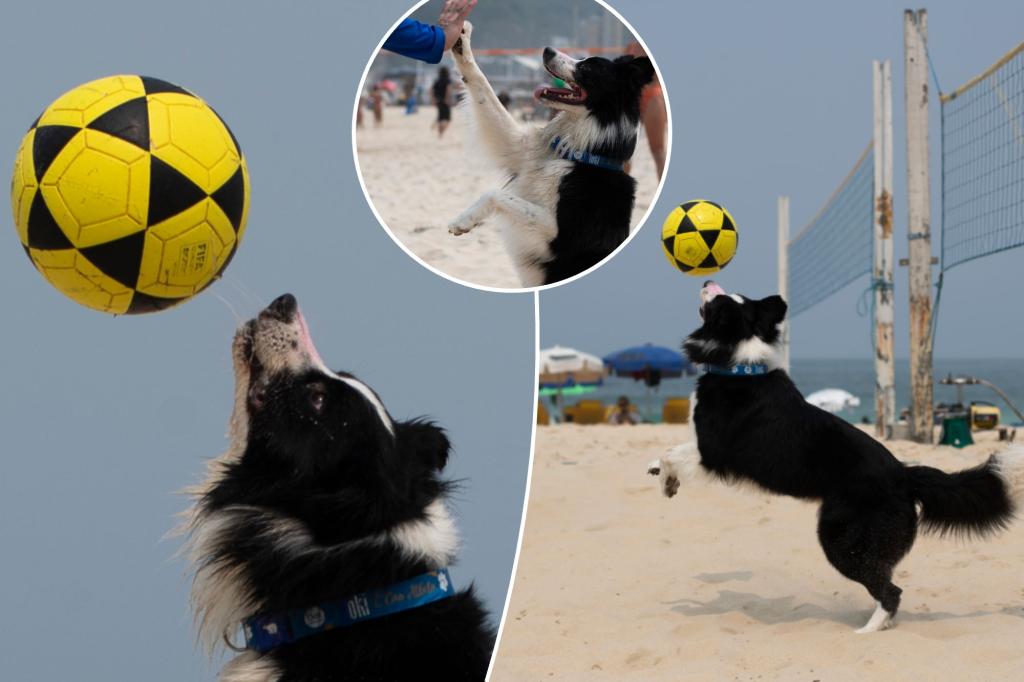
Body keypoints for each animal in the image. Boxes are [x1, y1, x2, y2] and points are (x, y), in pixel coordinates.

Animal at [448, 22, 655, 284]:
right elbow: (482, 84)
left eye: (586, 66)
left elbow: (497, 194)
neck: (582, 156)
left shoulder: (560, 235)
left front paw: (463, 220)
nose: (547, 50)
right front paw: (461, 40)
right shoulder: (520, 150)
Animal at [647, 280, 1024, 630]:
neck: (740, 364)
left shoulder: (713, 451)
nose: (707, 282)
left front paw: (667, 482)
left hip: (841, 538)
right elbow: (668, 452)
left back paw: (867, 631)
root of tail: (904, 474)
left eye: (718, 302)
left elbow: (672, 453)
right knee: (887, 582)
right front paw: (658, 472)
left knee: (890, 590)